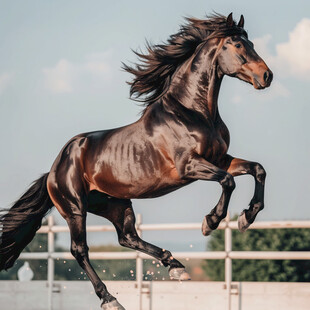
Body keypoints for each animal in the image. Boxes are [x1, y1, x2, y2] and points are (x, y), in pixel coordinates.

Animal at [0, 12, 272, 310]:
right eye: (238, 45)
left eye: (251, 43)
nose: (267, 76)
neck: (193, 112)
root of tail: (53, 168)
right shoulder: (190, 166)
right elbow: (229, 181)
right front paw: (210, 222)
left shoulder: (220, 159)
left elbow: (257, 170)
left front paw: (247, 217)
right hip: (75, 208)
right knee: (80, 250)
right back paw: (110, 299)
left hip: (115, 204)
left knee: (127, 237)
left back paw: (175, 266)